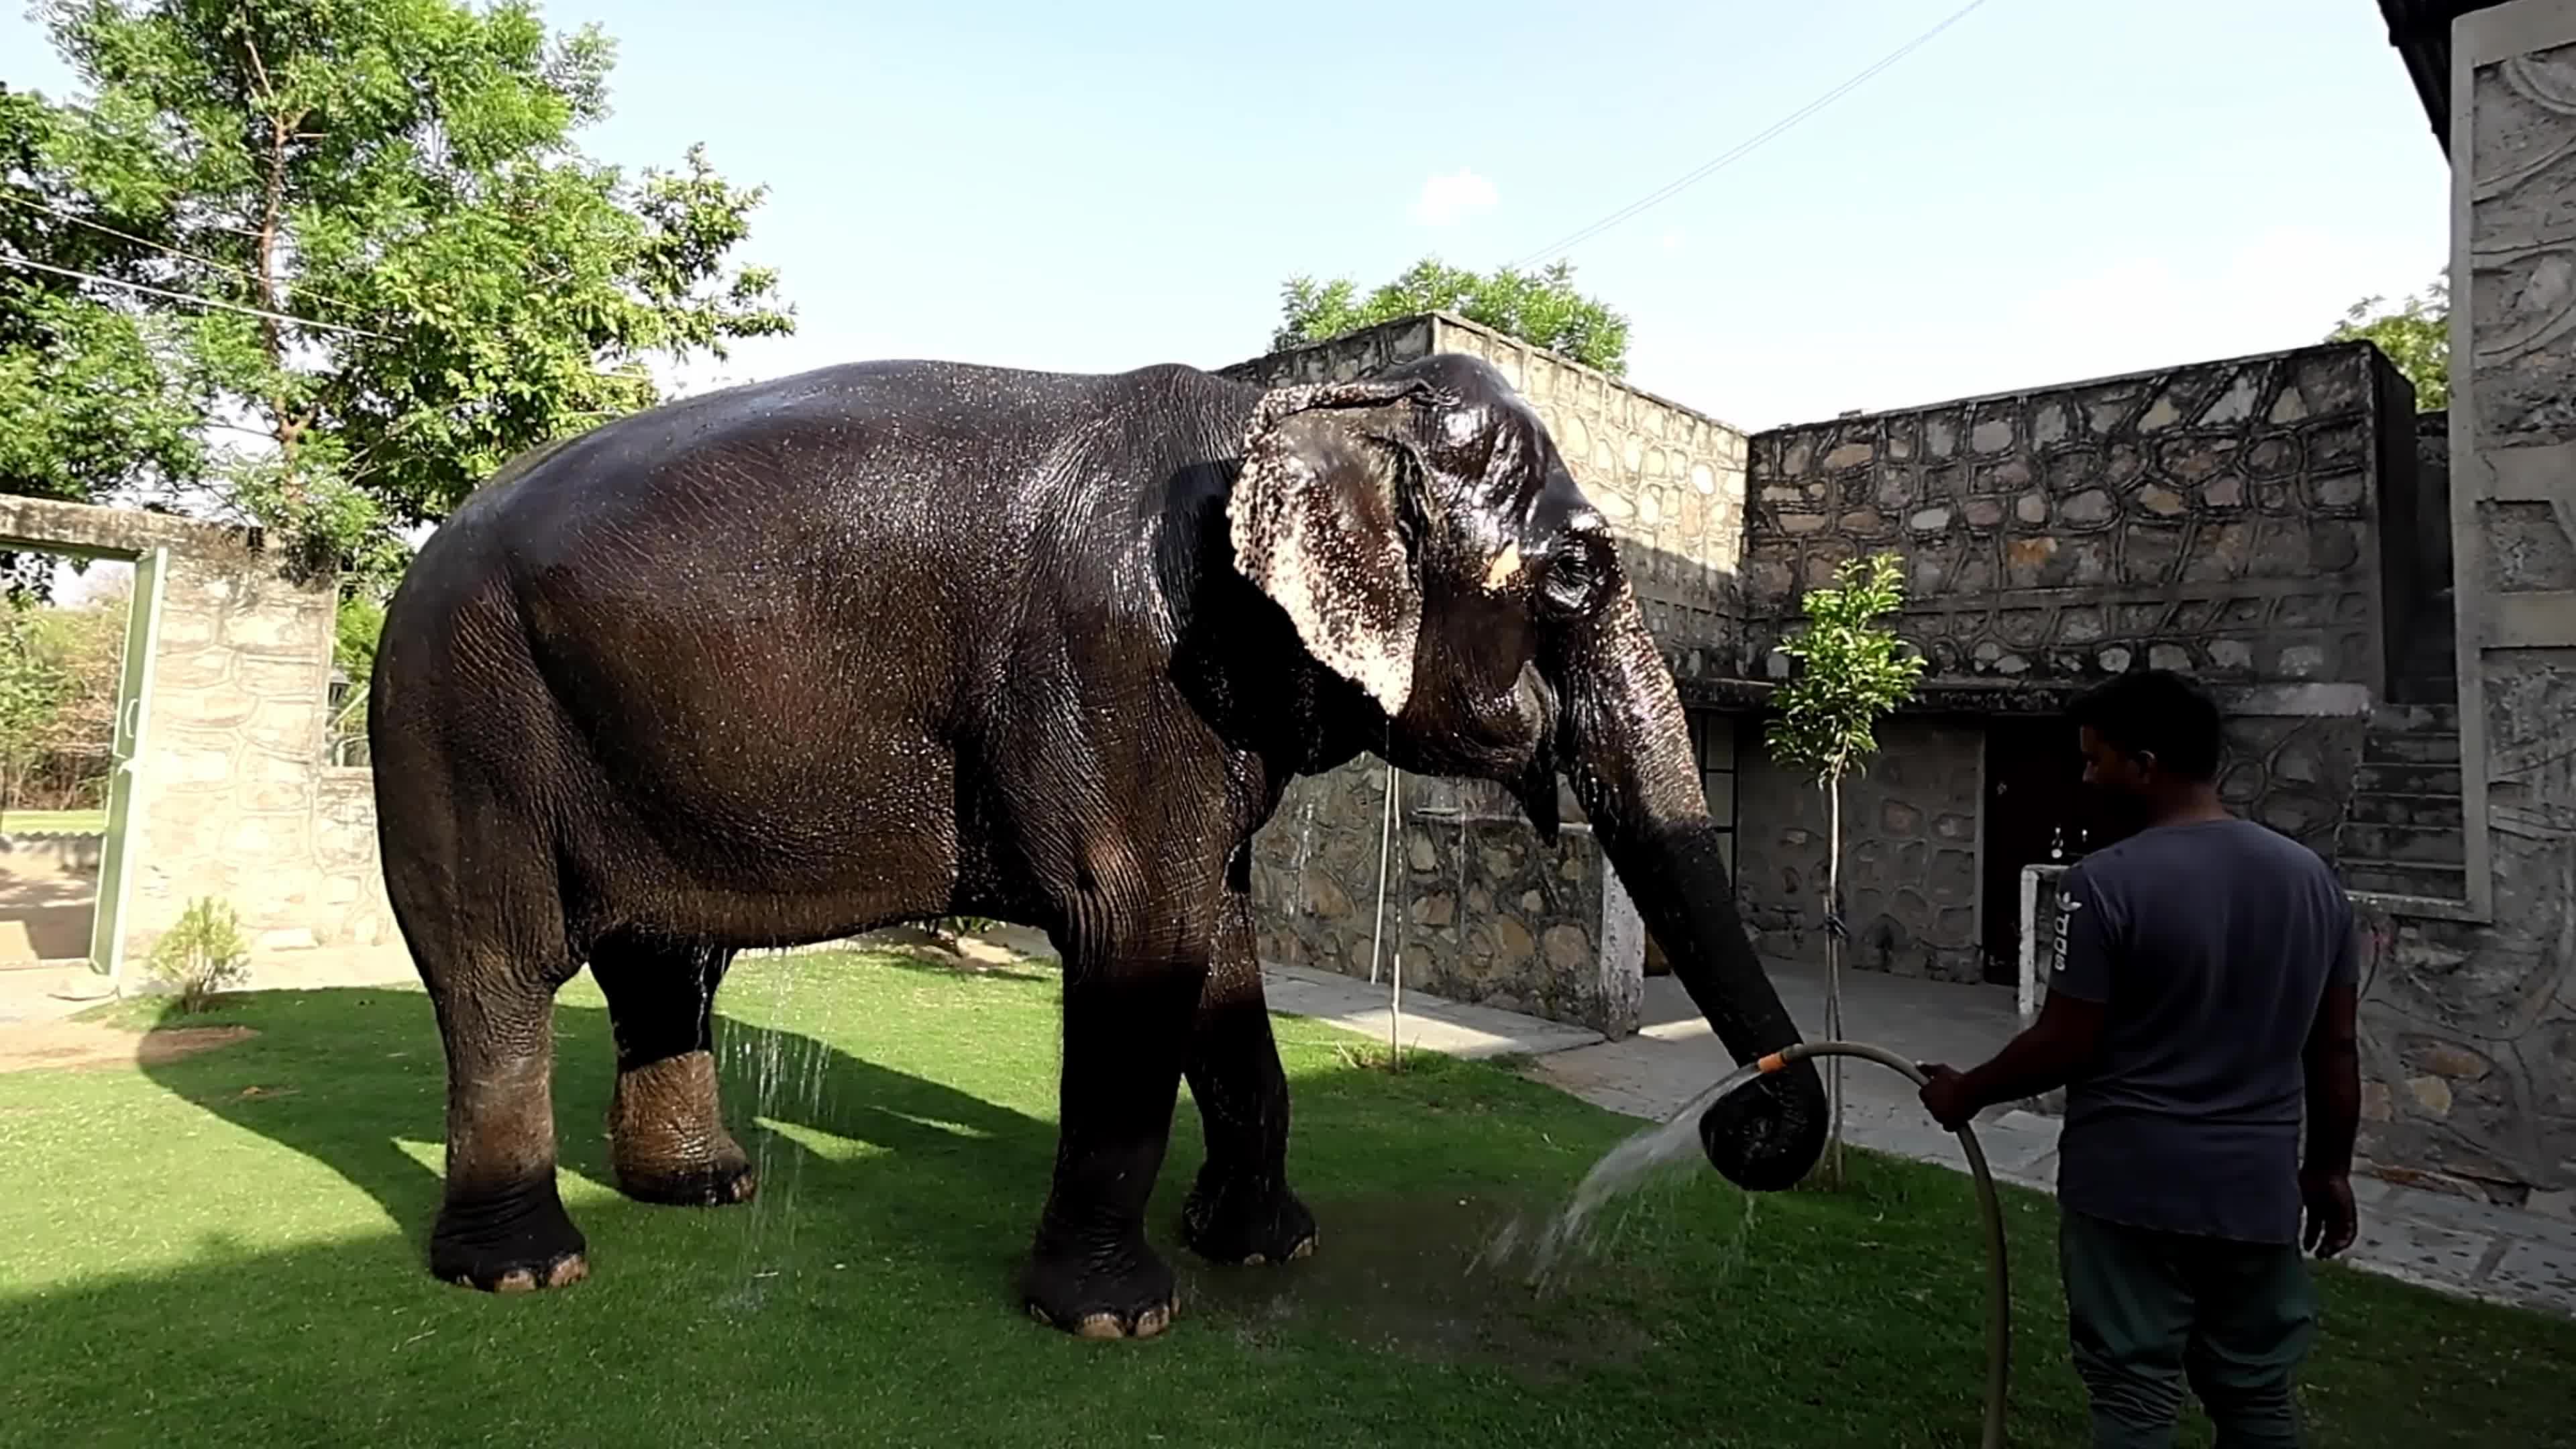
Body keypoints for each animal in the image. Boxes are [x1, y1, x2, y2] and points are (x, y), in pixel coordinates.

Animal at [367, 348, 1829, 1338]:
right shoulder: (1119, 672)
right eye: (1579, 572)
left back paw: (706, 1192)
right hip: (461, 712)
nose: (1744, 1127)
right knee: (497, 969)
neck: (1302, 413)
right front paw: (1118, 1318)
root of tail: (429, 546)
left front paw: (1265, 1250)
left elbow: (1222, 946)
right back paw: (527, 1270)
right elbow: (1144, 934)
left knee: (662, 960)